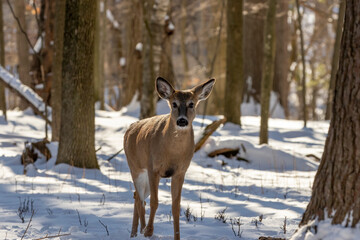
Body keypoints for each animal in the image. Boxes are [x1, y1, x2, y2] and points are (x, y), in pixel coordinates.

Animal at [124, 76, 214, 238]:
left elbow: (176, 207)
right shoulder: (153, 167)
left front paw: (177, 237)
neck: (173, 153)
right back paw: (142, 230)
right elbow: (155, 202)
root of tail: (129, 129)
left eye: (191, 104)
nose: (182, 120)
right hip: (136, 167)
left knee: (137, 196)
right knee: (140, 199)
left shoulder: (180, 172)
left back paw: (134, 233)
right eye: (174, 104)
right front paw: (149, 231)